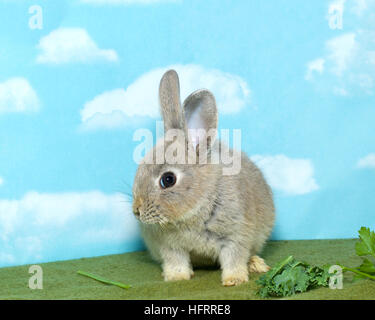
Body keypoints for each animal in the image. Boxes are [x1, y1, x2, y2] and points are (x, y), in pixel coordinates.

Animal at [133, 69, 276, 284]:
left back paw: (256, 264)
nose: (137, 211)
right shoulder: (170, 246)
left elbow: (234, 258)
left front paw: (234, 280)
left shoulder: (236, 236)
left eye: (168, 179)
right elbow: (176, 261)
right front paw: (176, 277)